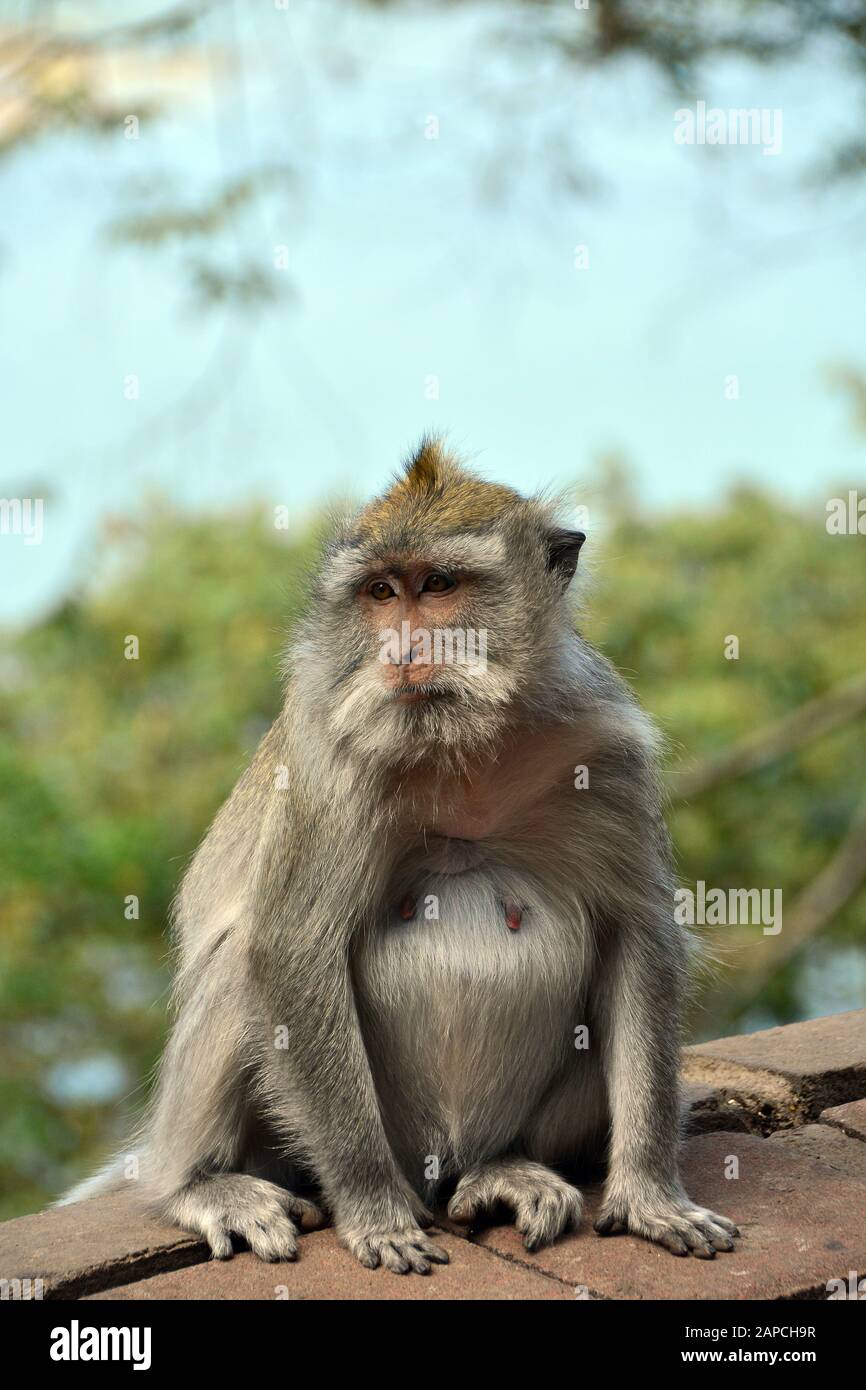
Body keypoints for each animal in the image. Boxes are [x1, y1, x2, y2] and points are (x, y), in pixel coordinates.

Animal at [62, 437, 737, 1274]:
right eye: (382, 593)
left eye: (439, 585)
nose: (405, 649)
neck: (464, 749)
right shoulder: (329, 764)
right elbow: (291, 949)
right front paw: (374, 1210)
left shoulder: (609, 749)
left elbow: (639, 939)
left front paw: (649, 1194)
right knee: (236, 963)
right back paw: (201, 1184)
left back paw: (502, 1170)